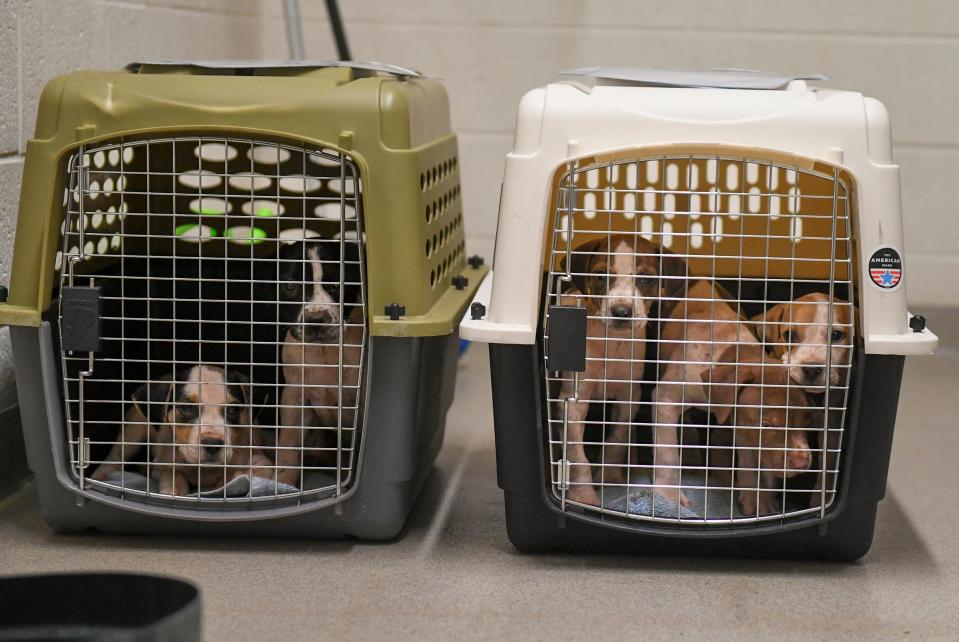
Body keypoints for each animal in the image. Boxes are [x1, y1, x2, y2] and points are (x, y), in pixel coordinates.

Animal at [89, 364, 274, 496]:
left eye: (233, 410)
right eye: (186, 407)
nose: (212, 444)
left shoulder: (262, 461)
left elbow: (248, 473)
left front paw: (226, 482)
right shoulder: (160, 465)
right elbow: (172, 473)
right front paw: (174, 489)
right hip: (133, 432)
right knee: (114, 458)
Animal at [274, 240, 364, 484]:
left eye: (336, 284)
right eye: (290, 286)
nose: (315, 319)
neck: (326, 351)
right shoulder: (295, 399)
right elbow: (288, 446)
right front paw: (280, 483)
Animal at [552, 232, 688, 508]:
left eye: (646, 278)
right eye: (600, 275)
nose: (622, 312)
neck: (611, 342)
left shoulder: (629, 397)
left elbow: (617, 438)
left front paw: (610, 478)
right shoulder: (572, 401)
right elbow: (576, 454)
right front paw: (584, 496)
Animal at [652, 280, 816, 516]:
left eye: (808, 419)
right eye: (766, 425)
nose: (802, 462)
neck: (728, 349)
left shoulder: (740, 417)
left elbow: (749, 458)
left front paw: (756, 498)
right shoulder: (666, 401)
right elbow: (668, 453)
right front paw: (669, 497)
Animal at [752, 292, 856, 508]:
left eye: (836, 335)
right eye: (789, 335)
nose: (811, 368)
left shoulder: (832, 428)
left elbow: (827, 466)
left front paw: (819, 501)